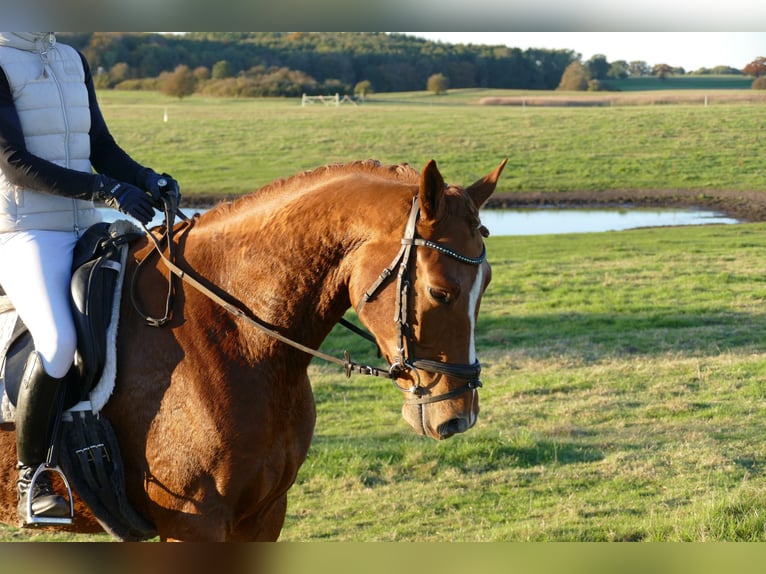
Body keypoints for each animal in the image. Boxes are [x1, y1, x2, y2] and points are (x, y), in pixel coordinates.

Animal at [0, 158, 506, 541]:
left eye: (486, 284)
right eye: (440, 291)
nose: (459, 416)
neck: (237, 339)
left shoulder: (263, 515)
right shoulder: (194, 524)